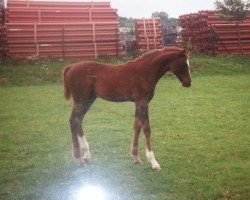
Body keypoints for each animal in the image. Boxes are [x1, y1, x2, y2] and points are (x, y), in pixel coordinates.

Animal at [62, 46, 191, 170]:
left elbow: (137, 126)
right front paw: (153, 162)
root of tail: (70, 67)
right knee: (74, 121)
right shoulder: (143, 102)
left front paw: (136, 157)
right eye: (184, 64)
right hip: (81, 100)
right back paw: (79, 159)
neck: (145, 71)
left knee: (78, 121)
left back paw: (86, 155)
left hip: (88, 100)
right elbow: (146, 129)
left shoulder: (138, 103)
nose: (188, 83)